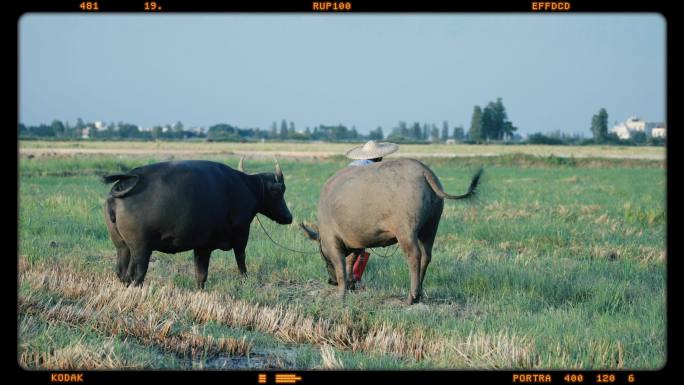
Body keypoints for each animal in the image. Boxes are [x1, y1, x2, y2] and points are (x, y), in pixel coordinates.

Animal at [103, 157, 292, 288]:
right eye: (279, 191)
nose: (289, 217)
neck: (247, 187)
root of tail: (126, 181)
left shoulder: (200, 247)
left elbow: (199, 275)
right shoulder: (236, 238)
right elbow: (239, 262)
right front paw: (245, 280)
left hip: (123, 247)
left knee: (122, 273)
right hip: (141, 250)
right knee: (136, 275)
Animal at [300, 158, 480, 304]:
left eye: (322, 253)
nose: (330, 282)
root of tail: (424, 171)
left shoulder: (333, 240)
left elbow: (341, 266)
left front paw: (341, 293)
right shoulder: (356, 241)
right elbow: (351, 261)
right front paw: (351, 284)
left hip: (406, 231)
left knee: (414, 257)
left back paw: (412, 296)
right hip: (430, 228)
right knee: (426, 256)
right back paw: (420, 294)